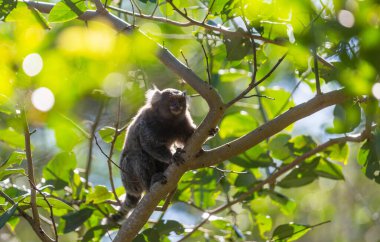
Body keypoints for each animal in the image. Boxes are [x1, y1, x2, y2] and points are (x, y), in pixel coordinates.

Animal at [116, 87, 196, 219]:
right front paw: (172, 157)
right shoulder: (147, 122)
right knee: (137, 156)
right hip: (128, 176)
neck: (169, 121)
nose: (177, 106)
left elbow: (189, 136)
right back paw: (151, 182)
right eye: (172, 100)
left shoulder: (183, 120)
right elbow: (149, 144)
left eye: (180, 101)